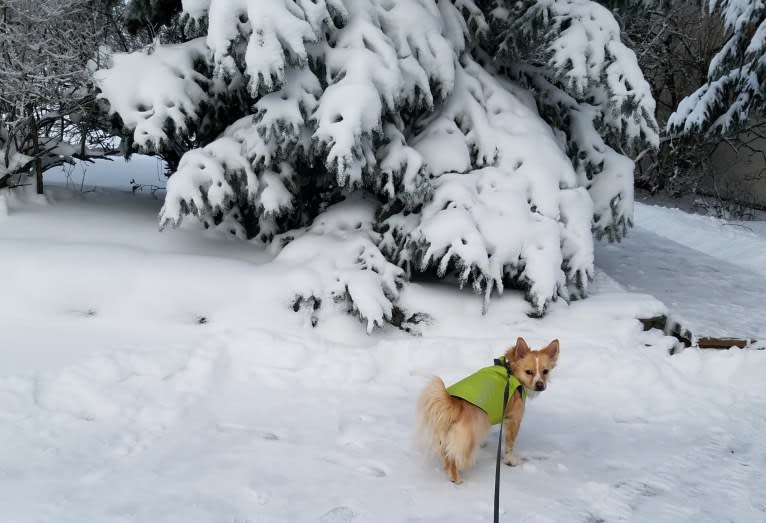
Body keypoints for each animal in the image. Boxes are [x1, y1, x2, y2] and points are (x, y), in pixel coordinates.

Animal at [416, 340, 560, 484]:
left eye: (545, 371)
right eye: (528, 372)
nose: (540, 385)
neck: (510, 371)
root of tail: (454, 404)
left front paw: (483, 443)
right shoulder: (514, 419)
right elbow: (510, 444)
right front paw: (510, 460)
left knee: (447, 454)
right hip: (468, 438)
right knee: (455, 458)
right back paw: (457, 478)